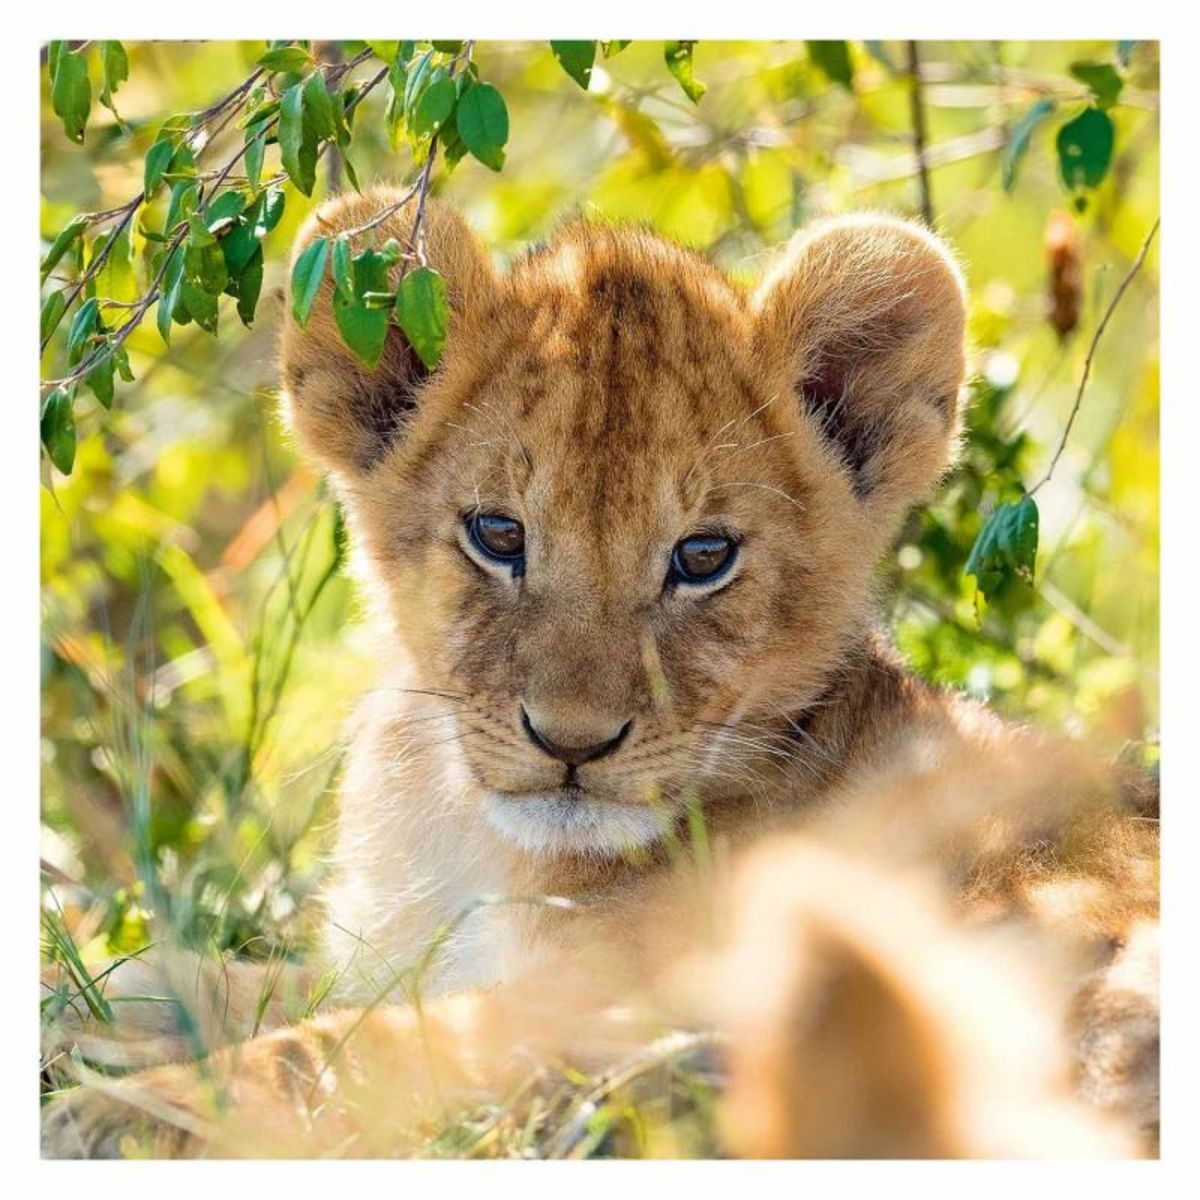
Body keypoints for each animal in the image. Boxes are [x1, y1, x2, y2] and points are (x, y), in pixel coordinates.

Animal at [41, 189, 1159, 1159]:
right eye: (498, 535)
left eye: (703, 556)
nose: (571, 743)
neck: (460, 832)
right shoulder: (389, 959)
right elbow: (220, 982)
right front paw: (84, 1001)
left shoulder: (607, 998)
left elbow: (347, 1051)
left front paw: (118, 1109)